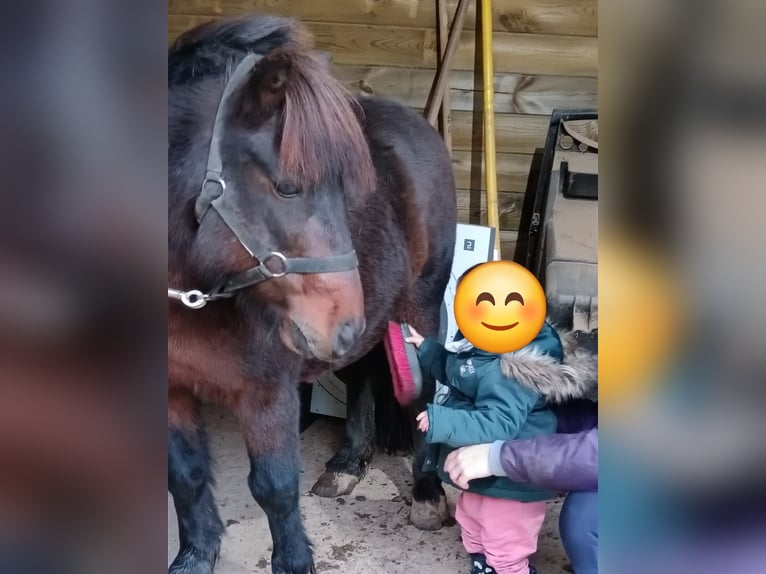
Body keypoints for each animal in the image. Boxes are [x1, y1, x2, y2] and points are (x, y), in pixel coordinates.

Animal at [168, 14, 456, 574]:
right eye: (287, 187)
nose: (340, 324)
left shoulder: (266, 393)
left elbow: (275, 488)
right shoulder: (172, 391)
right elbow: (185, 478)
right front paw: (196, 556)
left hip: (418, 309)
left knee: (424, 394)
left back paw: (428, 496)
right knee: (364, 374)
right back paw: (348, 464)